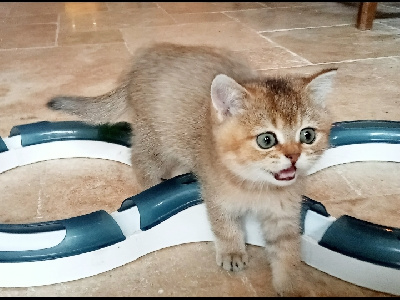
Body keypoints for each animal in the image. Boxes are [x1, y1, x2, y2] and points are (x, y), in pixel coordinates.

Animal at [46, 41, 334, 296]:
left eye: (307, 135)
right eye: (266, 140)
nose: (294, 156)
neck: (257, 186)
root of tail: (142, 61)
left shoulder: (284, 215)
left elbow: (288, 253)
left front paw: (291, 286)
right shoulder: (216, 196)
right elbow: (224, 225)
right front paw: (232, 251)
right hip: (157, 138)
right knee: (139, 159)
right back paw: (153, 184)